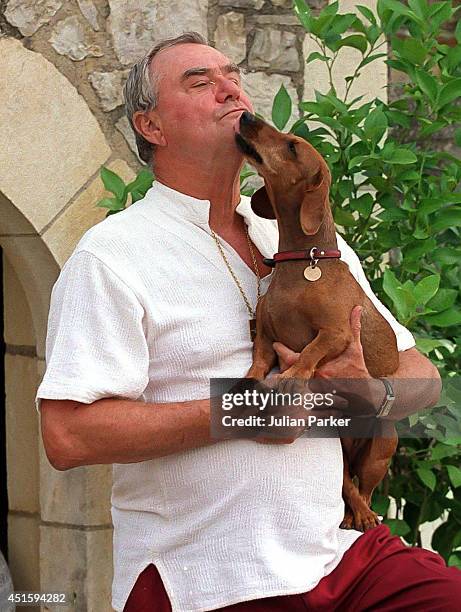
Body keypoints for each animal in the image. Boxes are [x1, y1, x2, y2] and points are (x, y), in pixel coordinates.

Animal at [235, 111, 398, 532]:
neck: (303, 261)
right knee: (345, 484)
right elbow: (258, 360)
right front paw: (249, 379)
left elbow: (312, 350)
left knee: (365, 490)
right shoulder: (266, 336)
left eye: (292, 146)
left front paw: (294, 375)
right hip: (336, 441)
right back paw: (351, 514)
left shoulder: (337, 333)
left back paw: (365, 515)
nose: (246, 115)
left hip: (382, 445)